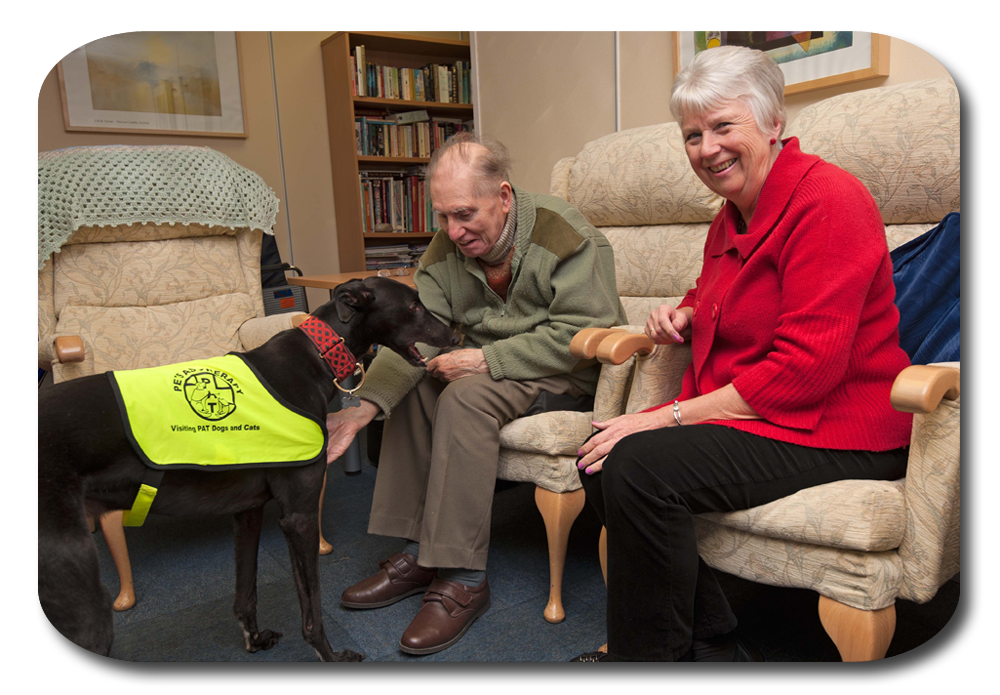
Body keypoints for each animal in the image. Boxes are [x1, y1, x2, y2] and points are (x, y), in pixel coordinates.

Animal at [38, 278, 460, 664]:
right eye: (414, 305)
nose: (455, 335)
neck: (315, 356)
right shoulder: (299, 517)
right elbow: (312, 609)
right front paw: (332, 655)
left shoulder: (247, 512)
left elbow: (246, 592)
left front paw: (254, 640)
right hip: (78, 583)